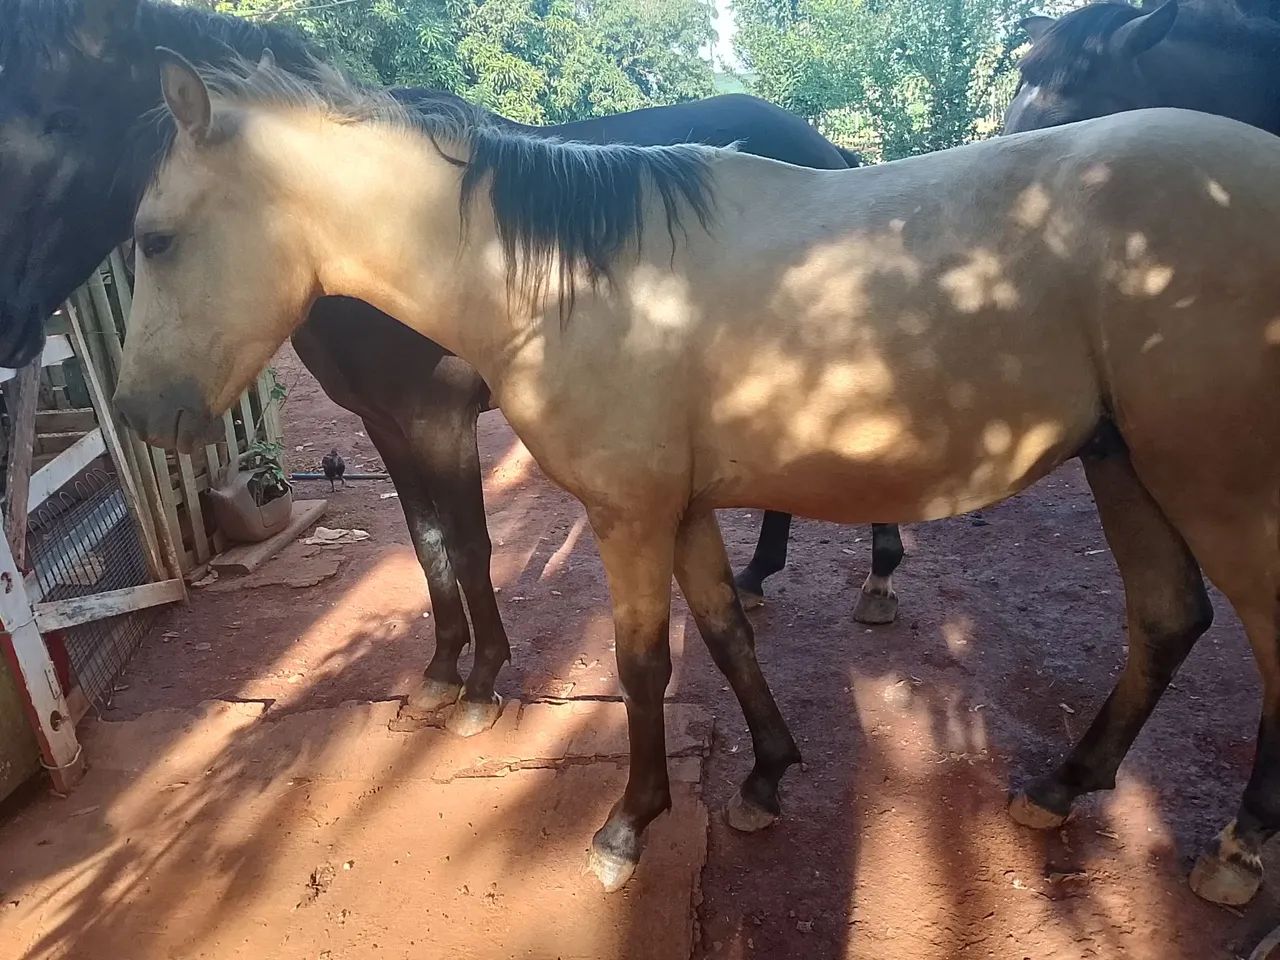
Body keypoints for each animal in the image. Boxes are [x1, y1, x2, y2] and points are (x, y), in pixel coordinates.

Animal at [0, 0, 902, 740]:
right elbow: (427, 542)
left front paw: (482, 685)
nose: (13, 326)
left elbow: (470, 543)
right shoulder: (383, 423)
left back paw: (878, 579)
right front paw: (438, 673)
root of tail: (827, 148)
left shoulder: (439, 418)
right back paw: (757, 573)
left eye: (59, 119)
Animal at [114, 54, 1280, 902]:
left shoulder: (623, 513)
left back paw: (1233, 852)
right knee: (1164, 620)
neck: (571, 283)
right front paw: (764, 776)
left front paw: (626, 827)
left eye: (155, 239)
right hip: (1125, 467)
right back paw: (1061, 788)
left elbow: (641, 664)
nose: (135, 413)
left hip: (1219, 485)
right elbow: (724, 630)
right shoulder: (679, 511)